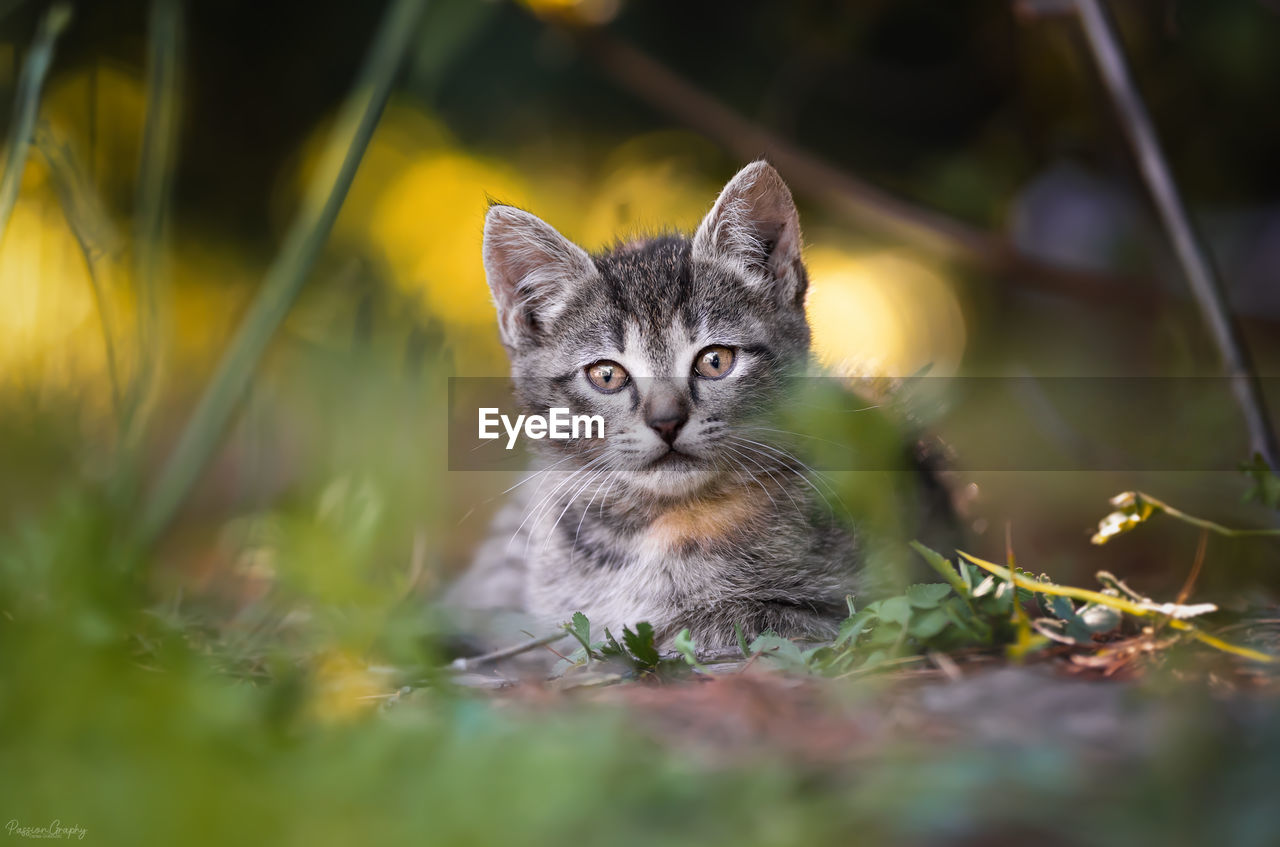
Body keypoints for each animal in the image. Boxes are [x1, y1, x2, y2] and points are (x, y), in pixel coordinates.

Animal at [453, 161, 870, 649]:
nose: (667, 422)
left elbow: (737, 619)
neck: (667, 524)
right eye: (606, 375)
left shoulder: (845, 604)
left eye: (715, 360)